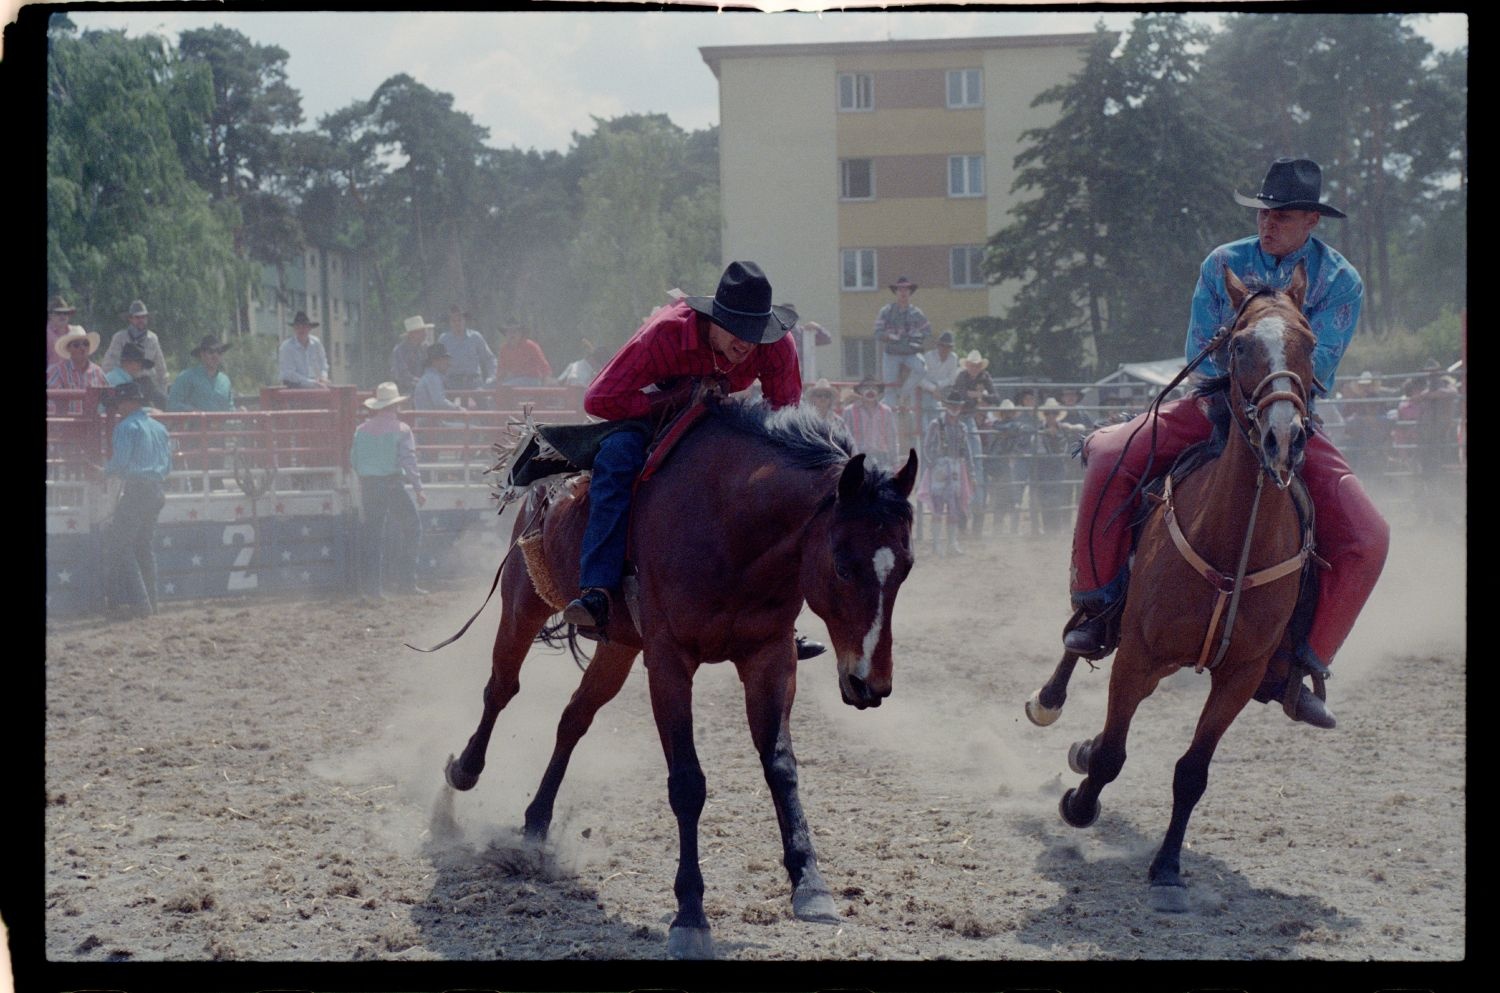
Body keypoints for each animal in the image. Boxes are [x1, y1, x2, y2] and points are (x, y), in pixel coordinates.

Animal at [441, 402, 912, 960]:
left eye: (906, 567)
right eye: (842, 566)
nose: (870, 684)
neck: (731, 526)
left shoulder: (770, 656)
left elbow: (781, 766)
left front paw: (812, 886)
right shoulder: (668, 661)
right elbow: (687, 782)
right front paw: (690, 914)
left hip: (619, 645)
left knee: (574, 718)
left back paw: (535, 824)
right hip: (522, 600)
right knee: (501, 688)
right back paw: (464, 772)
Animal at [1026, 262, 1320, 912]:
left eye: (1311, 343)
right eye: (1239, 345)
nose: (1283, 438)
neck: (1233, 540)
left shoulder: (1239, 675)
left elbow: (1192, 772)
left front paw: (1166, 866)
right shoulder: (1137, 652)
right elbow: (1113, 753)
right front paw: (1079, 805)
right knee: (1079, 633)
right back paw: (1051, 700)